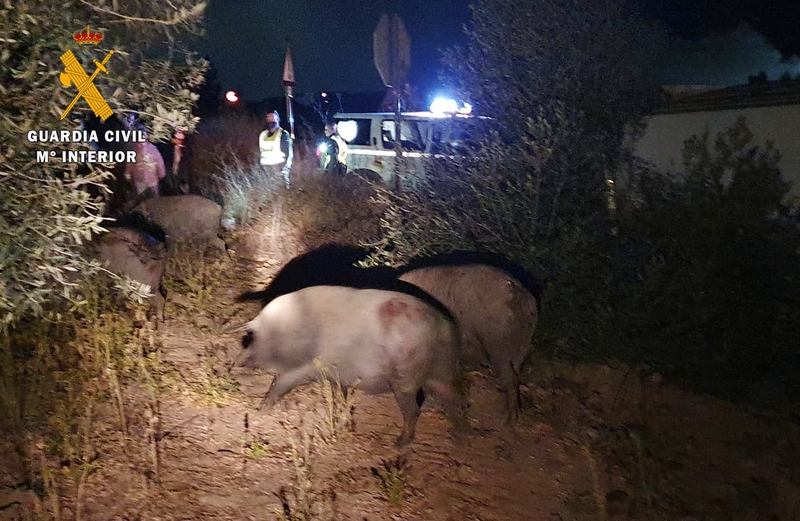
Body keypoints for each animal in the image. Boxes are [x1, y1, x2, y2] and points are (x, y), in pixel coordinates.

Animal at [234, 282, 466, 444]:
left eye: (251, 338)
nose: (235, 363)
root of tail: (444, 328)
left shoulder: (303, 366)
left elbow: (279, 385)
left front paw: (258, 412)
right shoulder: (337, 375)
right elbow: (340, 395)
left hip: (405, 382)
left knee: (414, 410)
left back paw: (399, 444)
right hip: (442, 373)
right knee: (455, 401)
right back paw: (458, 438)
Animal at [396, 250, 540, 424]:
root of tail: (519, 294)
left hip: (498, 341)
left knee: (508, 377)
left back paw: (510, 421)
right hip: (522, 343)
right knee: (516, 374)